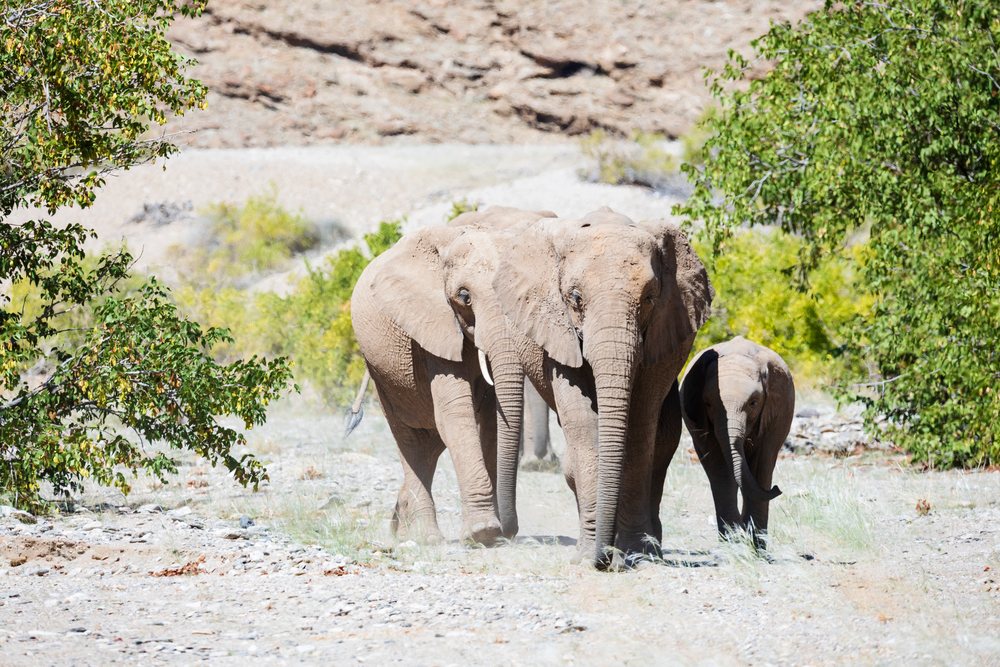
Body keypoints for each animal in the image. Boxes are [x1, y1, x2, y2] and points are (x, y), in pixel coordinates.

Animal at [441, 207, 712, 567]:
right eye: (575, 298)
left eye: (650, 298)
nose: (605, 558)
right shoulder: (559, 334)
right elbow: (583, 424)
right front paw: (588, 557)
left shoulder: (664, 329)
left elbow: (642, 426)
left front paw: (634, 555)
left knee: (663, 436)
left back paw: (647, 547)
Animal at [679, 336, 795, 549]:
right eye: (708, 404)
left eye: (753, 403)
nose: (777, 488)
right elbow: (719, 467)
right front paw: (734, 545)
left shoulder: (776, 412)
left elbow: (762, 463)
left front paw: (756, 549)